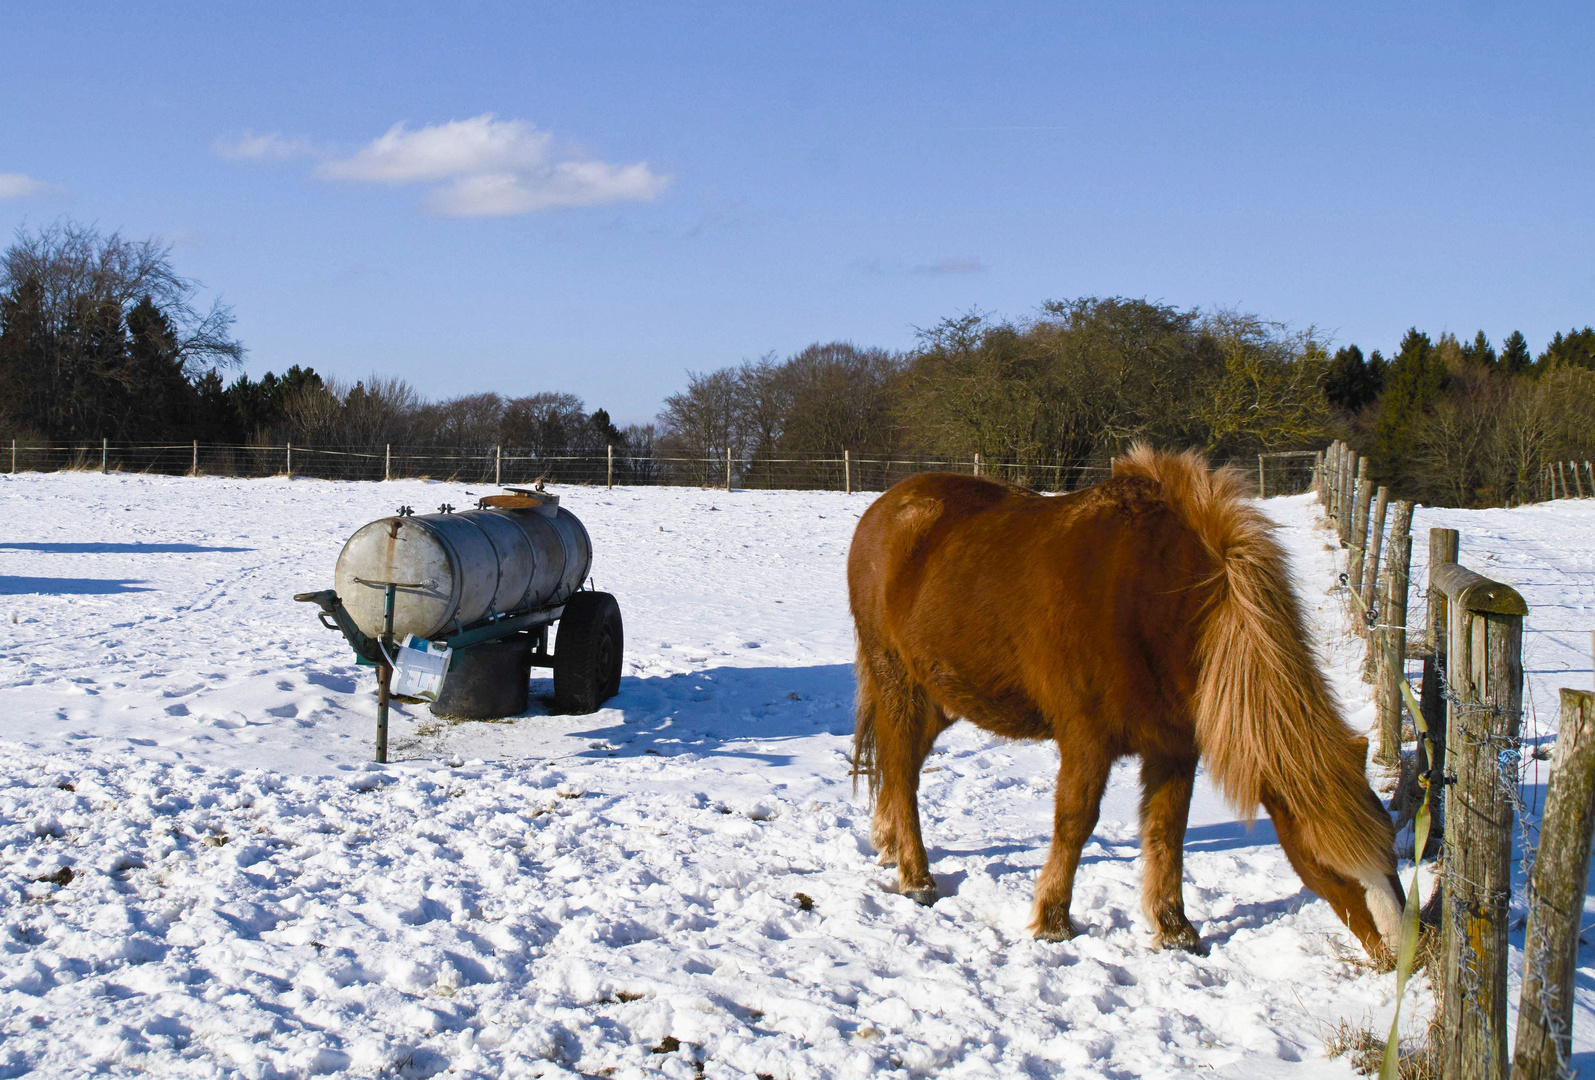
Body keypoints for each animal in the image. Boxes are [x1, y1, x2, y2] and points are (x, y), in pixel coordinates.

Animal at [842, 443, 1403, 957]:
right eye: (1328, 862)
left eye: (1393, 850)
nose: (1401, 954)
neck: (1159, 602)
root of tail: (883, 510)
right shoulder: (1087, 738)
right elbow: (1075, 822)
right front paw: (1053, 921)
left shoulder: (1175, 747)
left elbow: (1167, 832)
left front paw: (1174, 930)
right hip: (898, 682)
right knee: (902, 770)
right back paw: (916, 876)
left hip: (941, 697)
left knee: (899, 763)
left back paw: (889, 844)